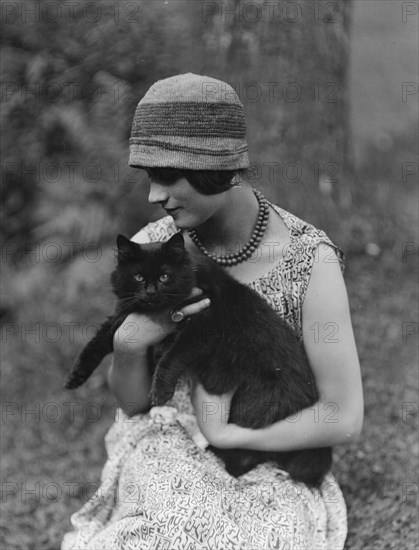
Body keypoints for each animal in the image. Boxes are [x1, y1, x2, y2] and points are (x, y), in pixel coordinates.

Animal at [65, 233, 332, 488]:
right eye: (138, 276)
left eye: (164, 276)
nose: (150, 292)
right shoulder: (123, 317)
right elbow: (96, 343)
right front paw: (75, 377)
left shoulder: (202, 328)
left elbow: (170, 359)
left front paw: (160, 392)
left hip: (249, 408)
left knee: (248, 455)